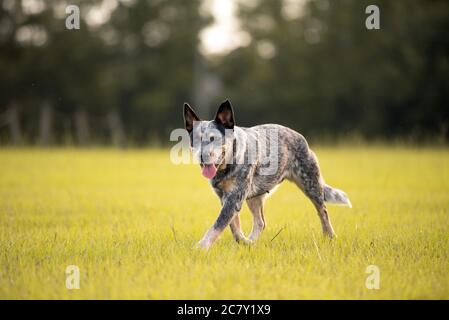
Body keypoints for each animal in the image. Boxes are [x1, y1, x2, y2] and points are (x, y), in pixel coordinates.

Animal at [182, 100, 350, 250]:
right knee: (260, 222)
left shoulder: (235, 196)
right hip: (254, 196)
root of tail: (298, 135)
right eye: (195, 140)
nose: (202, 156)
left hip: (310, 183)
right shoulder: (225, 197)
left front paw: (200, 248)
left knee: (323, 211)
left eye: (214, 138)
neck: (226, 166)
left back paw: (330, 236)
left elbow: (218, 225)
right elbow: (233, 226)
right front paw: (243, 242)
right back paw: (251, 241)